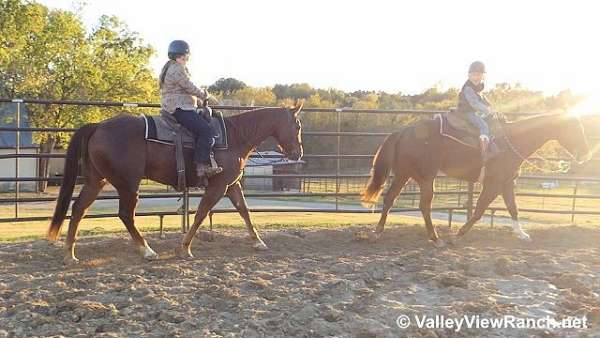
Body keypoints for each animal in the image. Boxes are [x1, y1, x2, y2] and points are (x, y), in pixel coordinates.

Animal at [47, 101, 304, 266]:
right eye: (298, 125)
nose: (297, 153)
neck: (236, 136)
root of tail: (98, 126)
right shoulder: (218, 186)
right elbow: (201, 213)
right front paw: (184, 248)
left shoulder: (231, 185)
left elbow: (244, 211)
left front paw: (258, 242)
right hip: (128, 184)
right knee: (125, 214)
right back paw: (147, 251)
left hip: (96, 180)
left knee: (79, 208)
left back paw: (69, 254)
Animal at [360, 113, 592, 246]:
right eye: (575, 129)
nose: (586, 153)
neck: (513, 140)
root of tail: (403, 131)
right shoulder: (493, 184)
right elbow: (480, 210)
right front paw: (459, 234)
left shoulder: (507, 183)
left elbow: (513, 208)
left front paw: (522, 234)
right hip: (425, 178)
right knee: (424, 205)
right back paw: (435, 238)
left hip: (404, 174)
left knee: (390, 199)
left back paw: (377, 233)